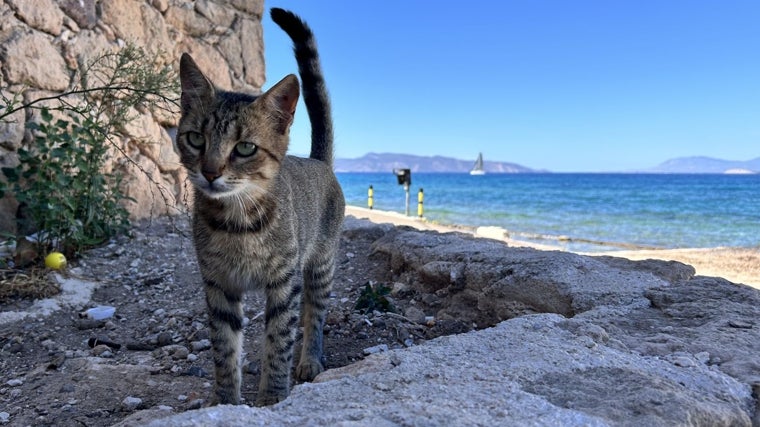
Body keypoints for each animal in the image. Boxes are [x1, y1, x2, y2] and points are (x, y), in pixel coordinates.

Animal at [177, 8, 342, 406]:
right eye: (195, 139)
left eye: (245, 148)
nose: (210, 172)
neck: (237, 221)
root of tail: (319, 162)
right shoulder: (217, 283)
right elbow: (224, 348)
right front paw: (225, 400)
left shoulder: (284, 282)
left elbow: (278, 342)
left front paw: (272, 397)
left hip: (320, 264)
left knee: (314, 313)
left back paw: (310, 359)